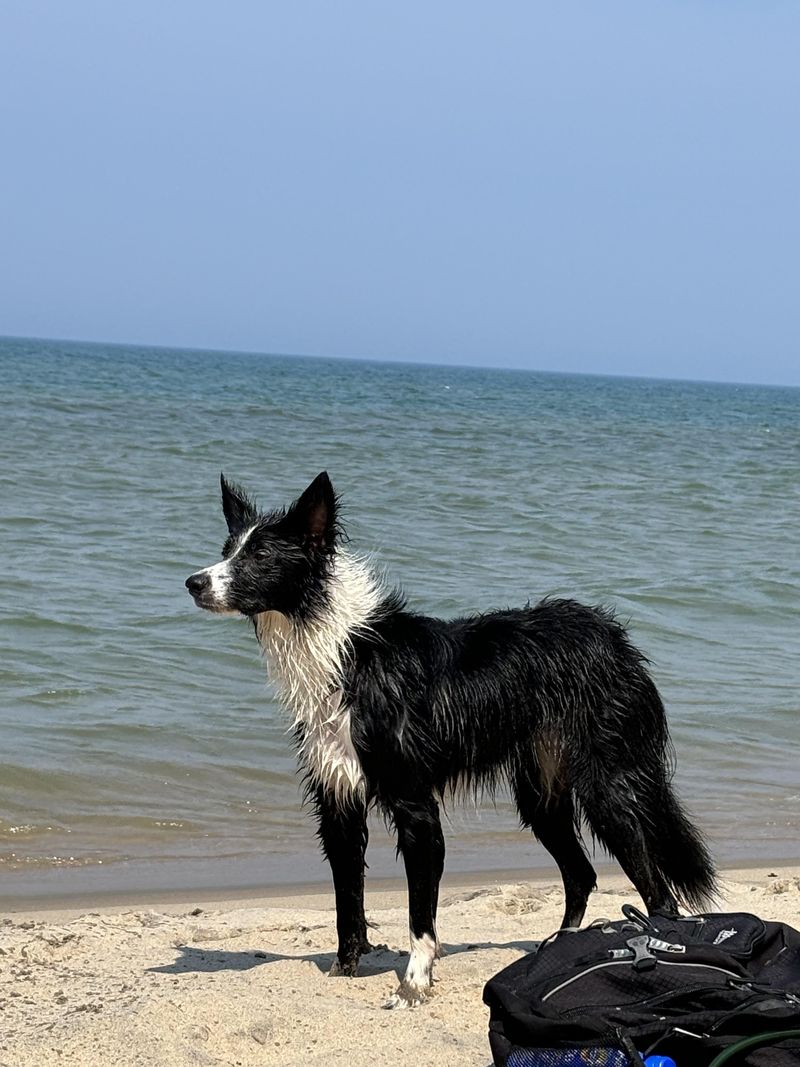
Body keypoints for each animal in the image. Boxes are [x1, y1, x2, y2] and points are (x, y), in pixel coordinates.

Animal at [184, 475, 716, 1007]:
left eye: (258, 556)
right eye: (227, 550)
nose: (193, 582)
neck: (346, 651)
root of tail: (612, 636)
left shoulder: (415, 806)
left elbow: (420, 914)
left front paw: (415, 982)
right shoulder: (337, 802)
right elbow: (346, 902)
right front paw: (344, 971)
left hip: (608, 787)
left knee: (659, 895)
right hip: (541, 794)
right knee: (581, 874)